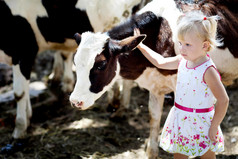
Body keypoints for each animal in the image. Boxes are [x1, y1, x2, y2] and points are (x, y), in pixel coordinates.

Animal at [0, 0, 142, 139]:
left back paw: (117, 105)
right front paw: (28, 116)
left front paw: (19, 129)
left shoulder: (24, 50)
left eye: (101, 64)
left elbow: (19, 93)